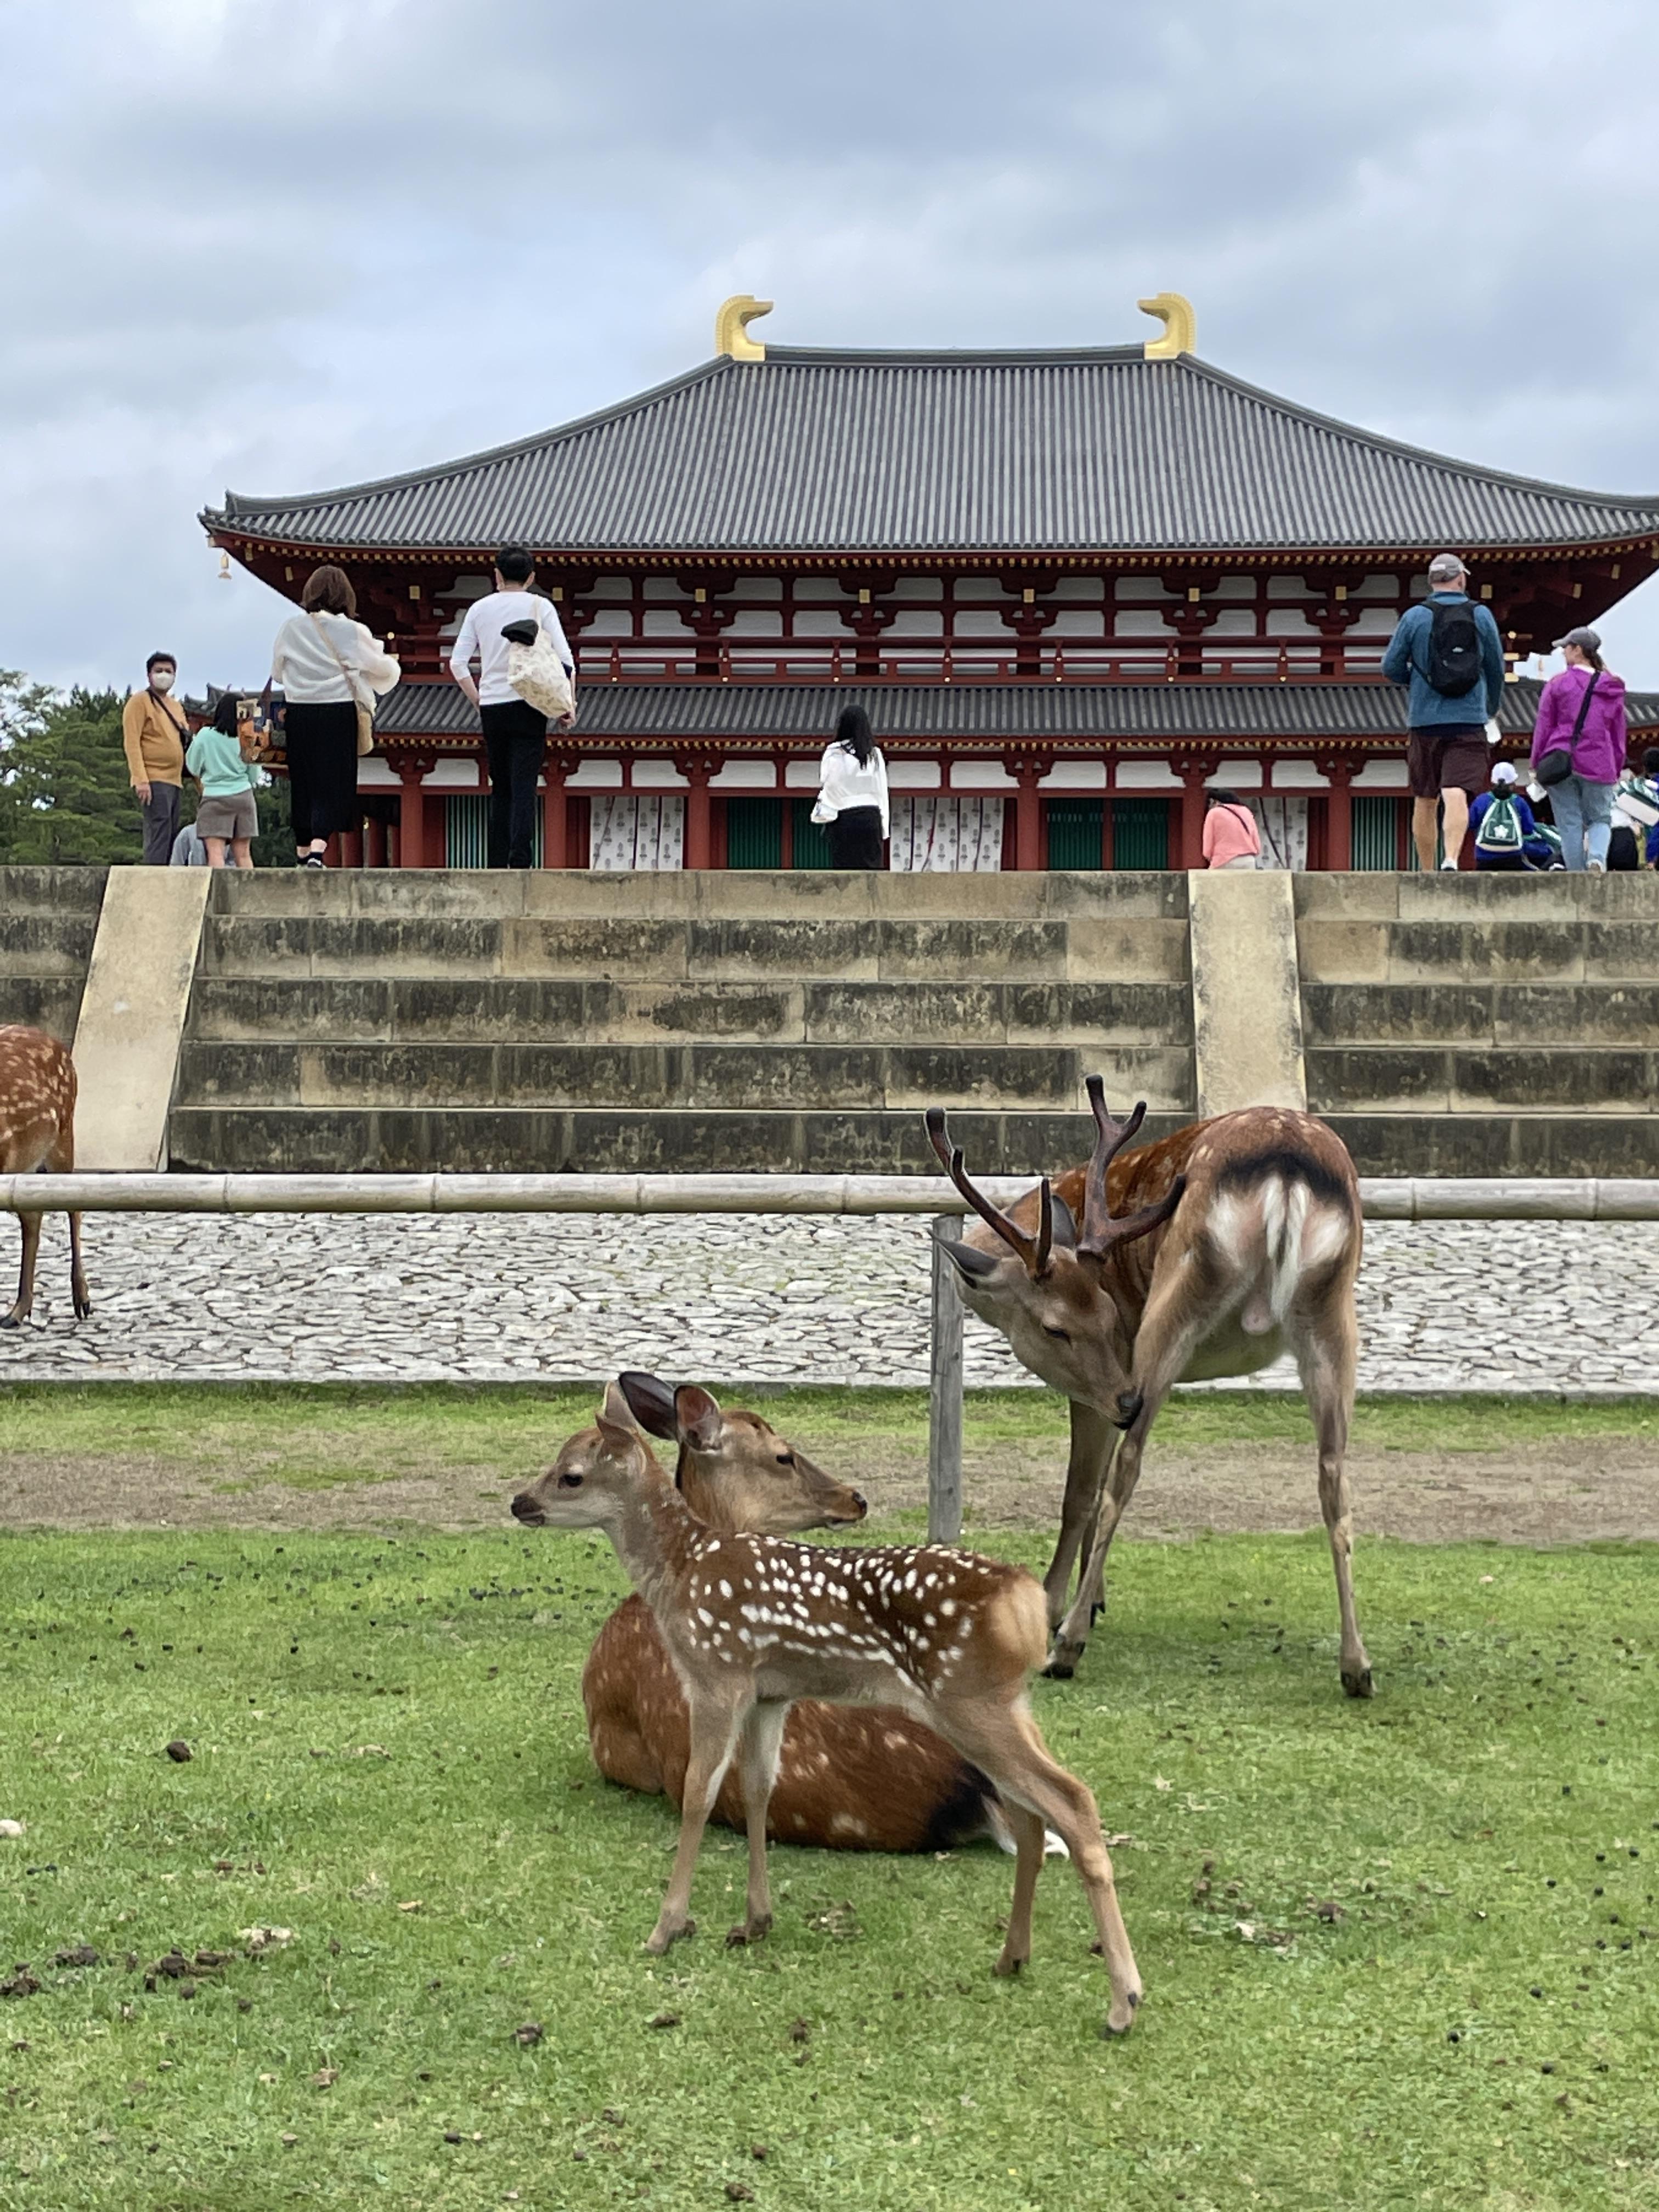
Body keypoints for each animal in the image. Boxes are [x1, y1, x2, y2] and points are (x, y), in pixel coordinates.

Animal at [928, 1078, 1369, 1698]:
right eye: (1059, 1326)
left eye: (1109, 1315)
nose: (1128, 1399)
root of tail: (1288, 1171)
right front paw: (1095, 1599)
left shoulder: (1098, 1387)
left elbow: (1080, 1493)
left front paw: (1059, 1605)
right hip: (1333, 1310)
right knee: (1333, 1474)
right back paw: (1357, 1667)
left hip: (1178, 1298)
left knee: (1128, 1466)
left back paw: (1067, 1650)